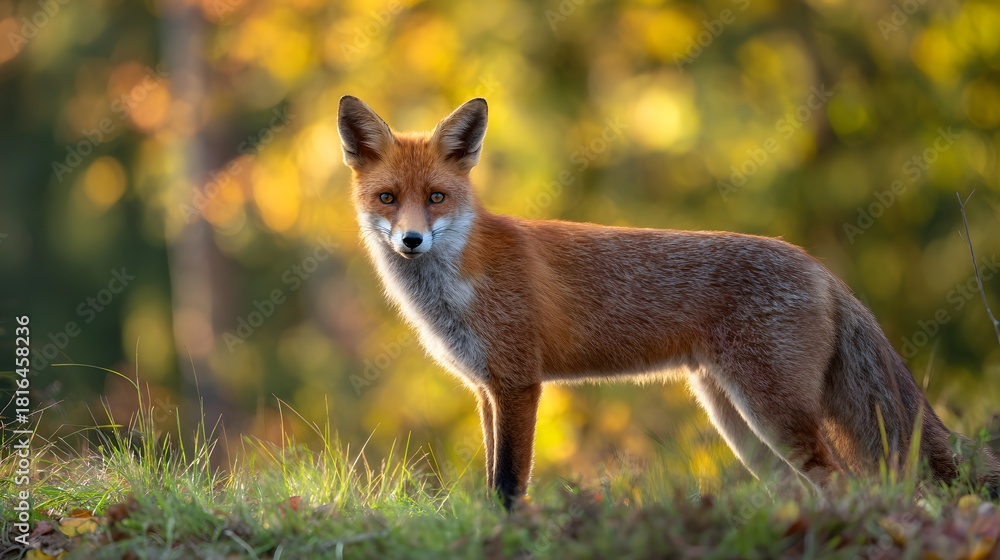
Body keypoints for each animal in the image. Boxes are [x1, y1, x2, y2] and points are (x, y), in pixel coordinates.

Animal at [337, 95, 1000, 509]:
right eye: (389, 198)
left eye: (437, 197)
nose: (411, 240)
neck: (458, 284)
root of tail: (818, 265)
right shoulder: (486, 389)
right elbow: (490, 473)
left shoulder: (519, 383)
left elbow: (508, 483)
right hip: (739, 423)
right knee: (807, 487)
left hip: (773, 413)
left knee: (837, 480)